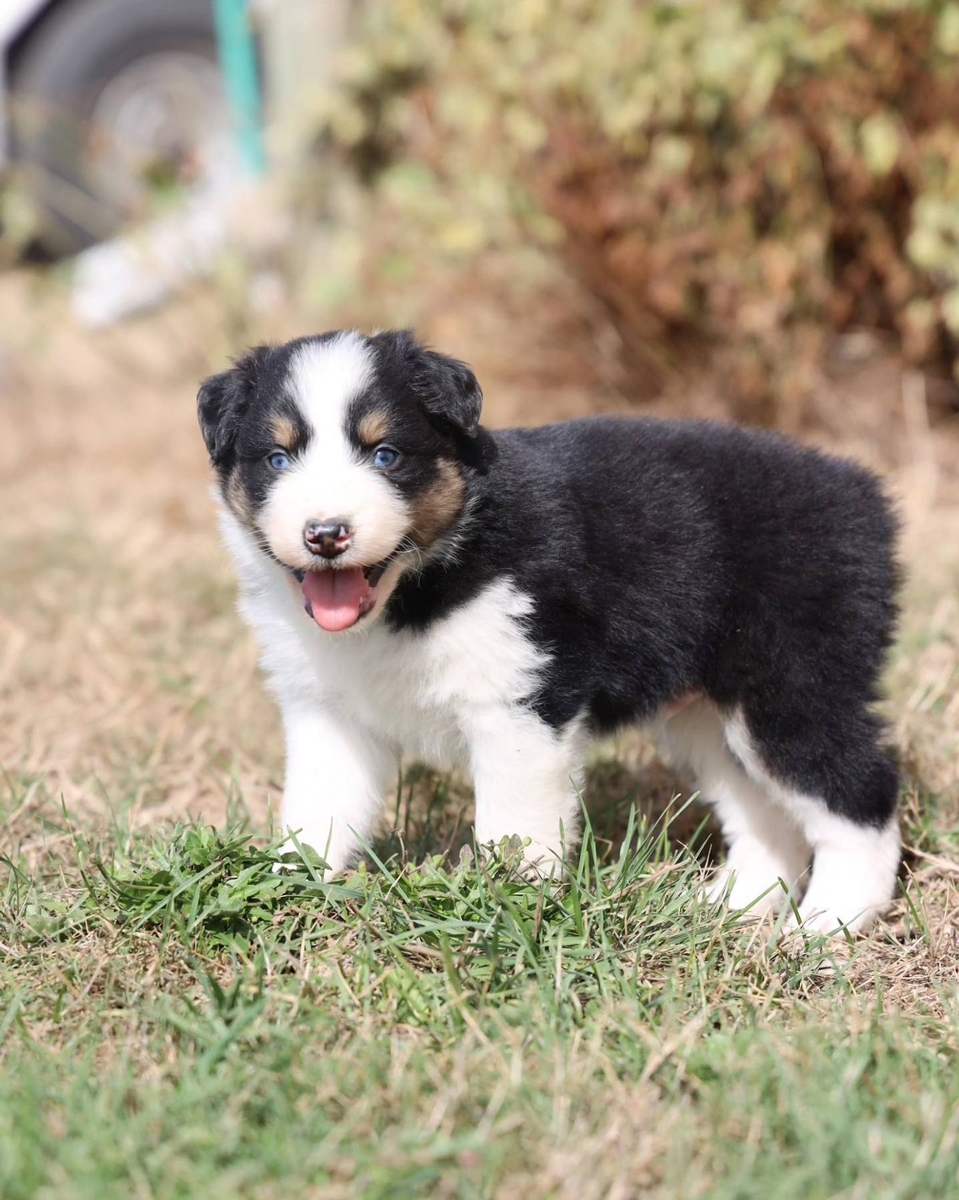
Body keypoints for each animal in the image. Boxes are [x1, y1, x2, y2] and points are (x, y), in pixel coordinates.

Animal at [199, 328, 902, 936]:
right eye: (278, 459)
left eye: (385, 454)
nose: (325, 533)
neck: (419, 585)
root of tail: (861, 494)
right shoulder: (327, 711)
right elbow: (318, 810)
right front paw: (288, 897)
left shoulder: (518, 702)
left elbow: (515, 826)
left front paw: (506, 911)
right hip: (707, 716)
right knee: (766, 815)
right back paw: (733, 907)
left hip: (790, 688)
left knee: (859, 795)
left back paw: (826, 926)